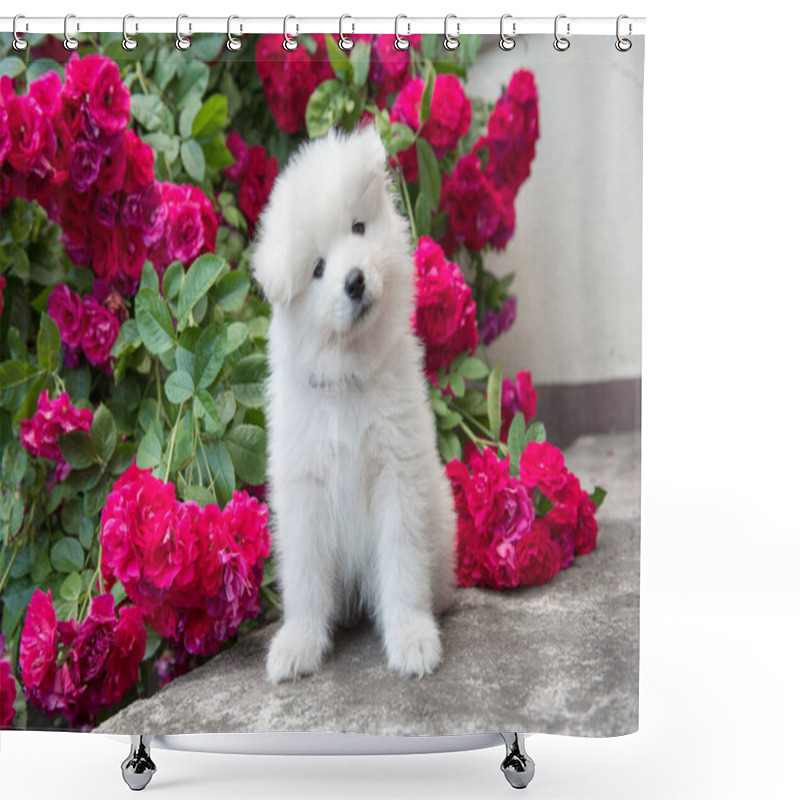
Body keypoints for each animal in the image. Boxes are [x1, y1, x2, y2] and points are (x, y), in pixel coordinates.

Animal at [255, 123, 456, 680]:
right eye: (318, 268)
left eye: (359, 228)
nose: (354, 280)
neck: (347, 376)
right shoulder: (304, 489)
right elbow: (304, 580)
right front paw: (298, 644)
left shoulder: (398, 474)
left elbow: (403, 565)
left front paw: (412, 639)